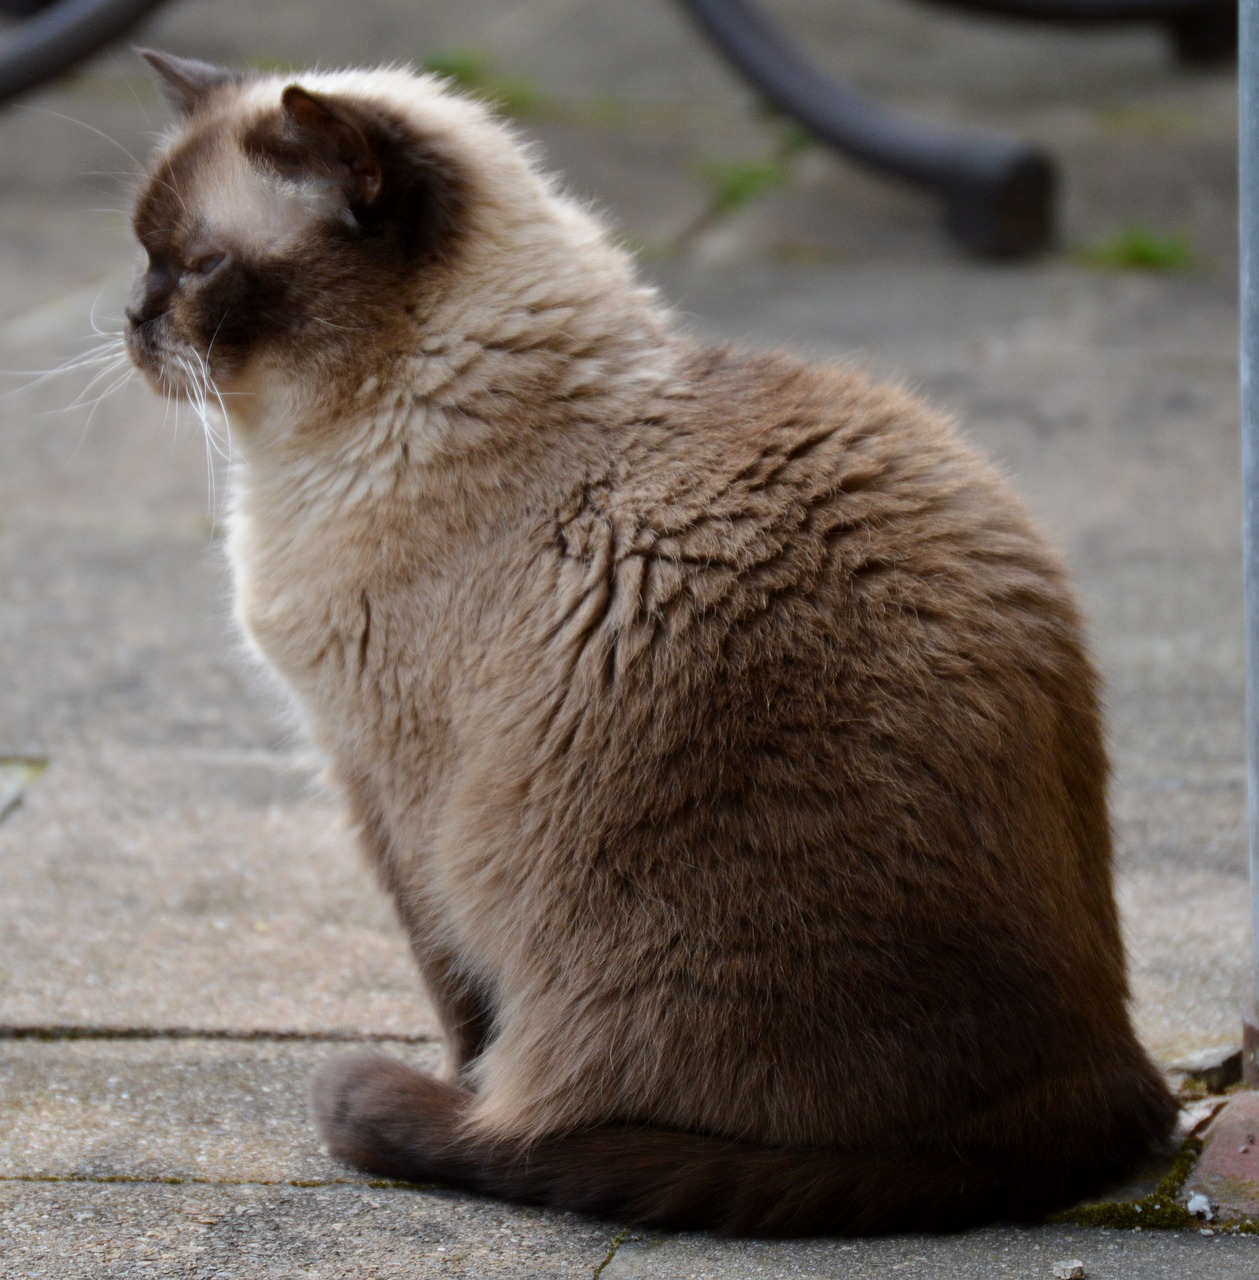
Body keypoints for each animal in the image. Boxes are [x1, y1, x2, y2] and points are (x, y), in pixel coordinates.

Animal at [122, 52, 1177, 1239]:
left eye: (200, 265)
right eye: (142, 252)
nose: (129, 318)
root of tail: (1092, 1087)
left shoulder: (392, 787)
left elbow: (458, 998)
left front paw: (458, 1083)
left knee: (549, 1117)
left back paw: (473, 1116)